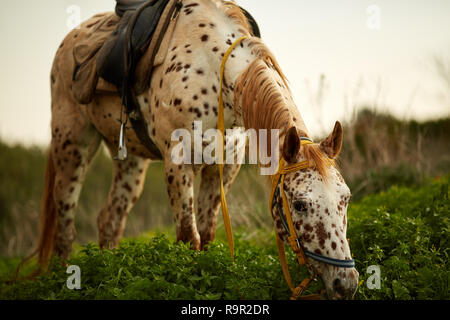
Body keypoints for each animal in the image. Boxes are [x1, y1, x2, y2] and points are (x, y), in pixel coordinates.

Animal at [34, 0, 358, 300]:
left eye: (346, 199)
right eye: (300, 204)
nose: (346, 284)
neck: (216, 72)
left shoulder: (223, 169)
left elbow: (207, 235)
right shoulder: (178, 164)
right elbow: (189, 237)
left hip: (130, 161)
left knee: (110, 220)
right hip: (72, 146)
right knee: (65, 226)